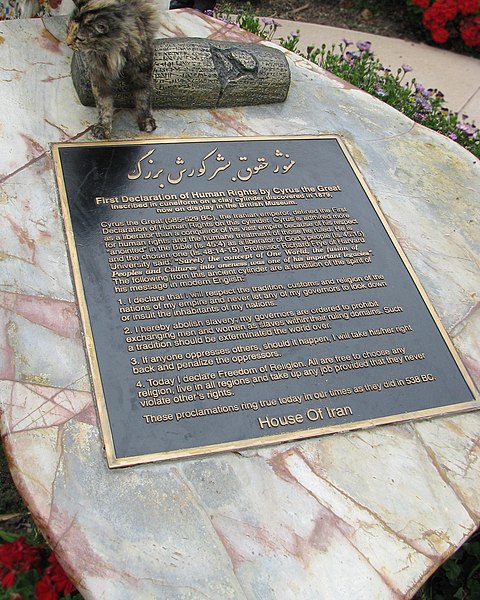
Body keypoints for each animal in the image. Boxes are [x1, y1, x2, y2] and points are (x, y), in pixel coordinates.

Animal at [66, 0, 159, 138]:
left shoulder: (142, 68)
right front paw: (103, 126)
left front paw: (146, 120)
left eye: (79, 38)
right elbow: (103, 103)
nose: (67, 42)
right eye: (69, 30)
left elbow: (143, 96)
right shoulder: (99, 75)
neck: (113, 52)